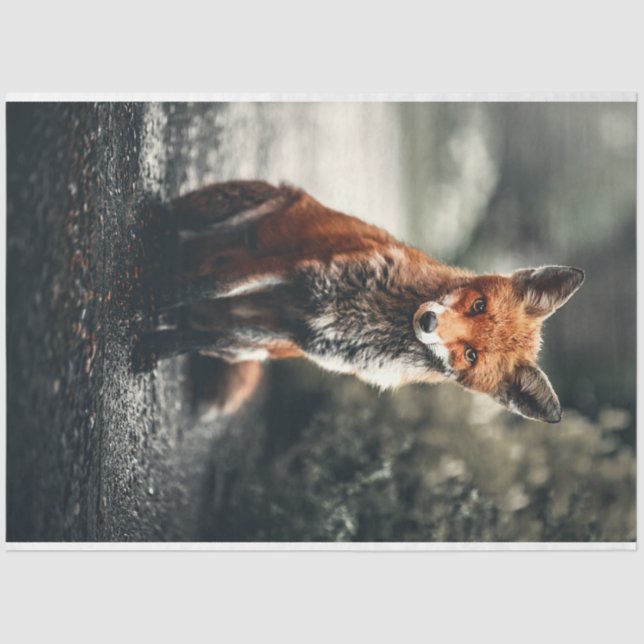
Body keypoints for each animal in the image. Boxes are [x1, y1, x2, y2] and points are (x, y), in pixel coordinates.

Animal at [140, 180, 584, 423]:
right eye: (478, 305)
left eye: (471, 355)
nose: (428, 323)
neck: (374, 318)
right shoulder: (292, 270)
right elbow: (209, 285)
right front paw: (152, 302)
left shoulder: (289, 334)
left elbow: (195, 337)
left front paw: (154, 345)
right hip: (233, 209)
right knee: (170, 221)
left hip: (251, 348)